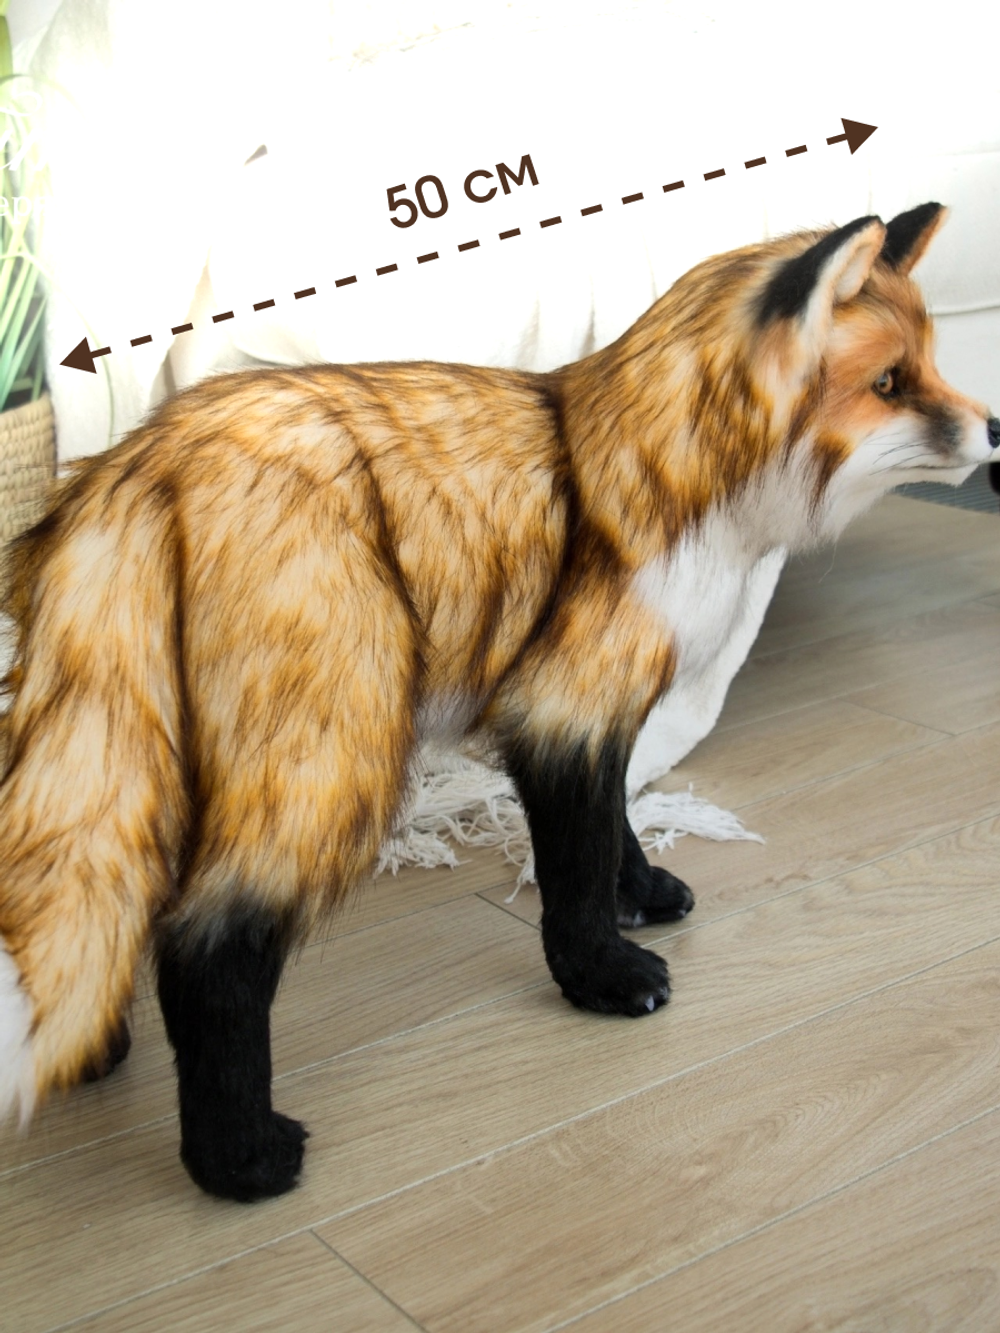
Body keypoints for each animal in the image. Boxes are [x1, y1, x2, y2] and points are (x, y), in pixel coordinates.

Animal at [0, 202, 996, 1202]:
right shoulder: (562, 708)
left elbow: (615, 829)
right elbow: (577, 872)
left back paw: (98, 1048)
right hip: (334, 754)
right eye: (889, 383)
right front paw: (602, 976)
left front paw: (643, 895)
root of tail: (135, 460)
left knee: (116, 893)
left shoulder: (595, 711)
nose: (995, 436)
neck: (672, 483)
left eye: (932, 363)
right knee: (202, 942)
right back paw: (236, 1156)